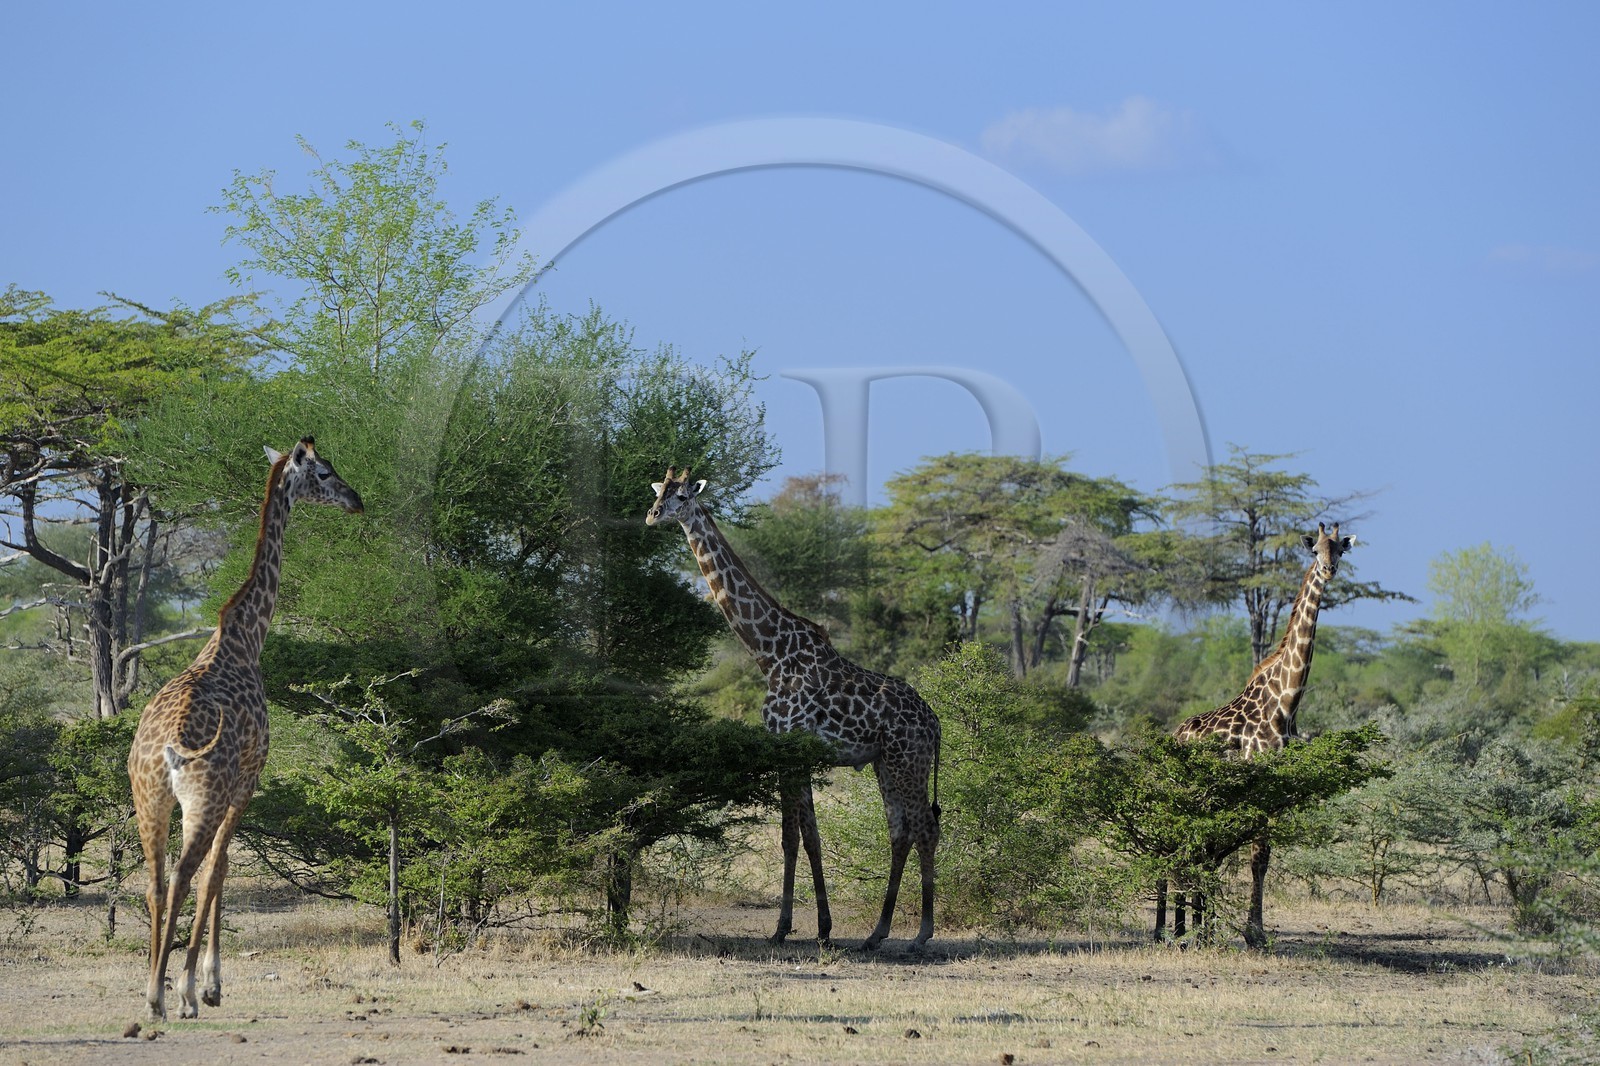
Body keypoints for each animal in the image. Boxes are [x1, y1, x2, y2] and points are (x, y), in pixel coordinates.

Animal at [127, 438, 362, 1020]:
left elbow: (221, 867)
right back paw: (168, 996)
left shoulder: (233, 789)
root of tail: (166, 751)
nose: (358, 501)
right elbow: (220, 869)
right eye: (326, 473)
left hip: (149, 799)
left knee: (155, 883)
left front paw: (205, 982)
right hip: (202, 798)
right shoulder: (248, 780)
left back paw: (151, 993)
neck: (246, 636)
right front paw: (205, 986)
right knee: (185, 875)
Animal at [646, 468, 942, 950]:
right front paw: (817, 928)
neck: (767, 652)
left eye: (684, 496)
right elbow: (806, 837)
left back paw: (921, 935)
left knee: (925, 828)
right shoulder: (790, 749)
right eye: (660, 492)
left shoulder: (789, 742)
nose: (653, 516)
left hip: (907, 760)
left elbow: (793, 837)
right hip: (885, 762)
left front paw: (789, 928)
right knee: (900, 832)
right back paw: (876, 934)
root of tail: (935, 724)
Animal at [1162, 521, 1354, 948]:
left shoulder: (1278, 787)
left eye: (1340, 550)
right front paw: (1254, 934)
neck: (1287, 702)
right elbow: (1256, 856)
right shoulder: (1259, 781)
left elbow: (1263, 860)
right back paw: (1176, 931)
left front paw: (1252, 932)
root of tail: (1174, 736)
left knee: (1197, 851)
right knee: (1179, 850)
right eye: (1315, 549)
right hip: (1183, 795)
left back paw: (1195, 930)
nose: (1329, 570)